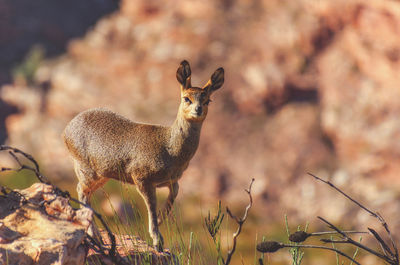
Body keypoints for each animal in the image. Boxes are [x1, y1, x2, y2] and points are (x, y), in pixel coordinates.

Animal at [64, 59, 223, 250]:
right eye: (186, 98)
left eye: (208, 100)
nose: (198, 109)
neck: (170, 149)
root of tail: (67, 129)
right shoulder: (142, 178)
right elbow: (151, 207)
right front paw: (157, 240)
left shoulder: (172, 181)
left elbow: (172, 197)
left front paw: (161, 219)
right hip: (87, 171)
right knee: (80, 190)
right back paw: (95, 235)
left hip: (103, 175)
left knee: (85, 193)